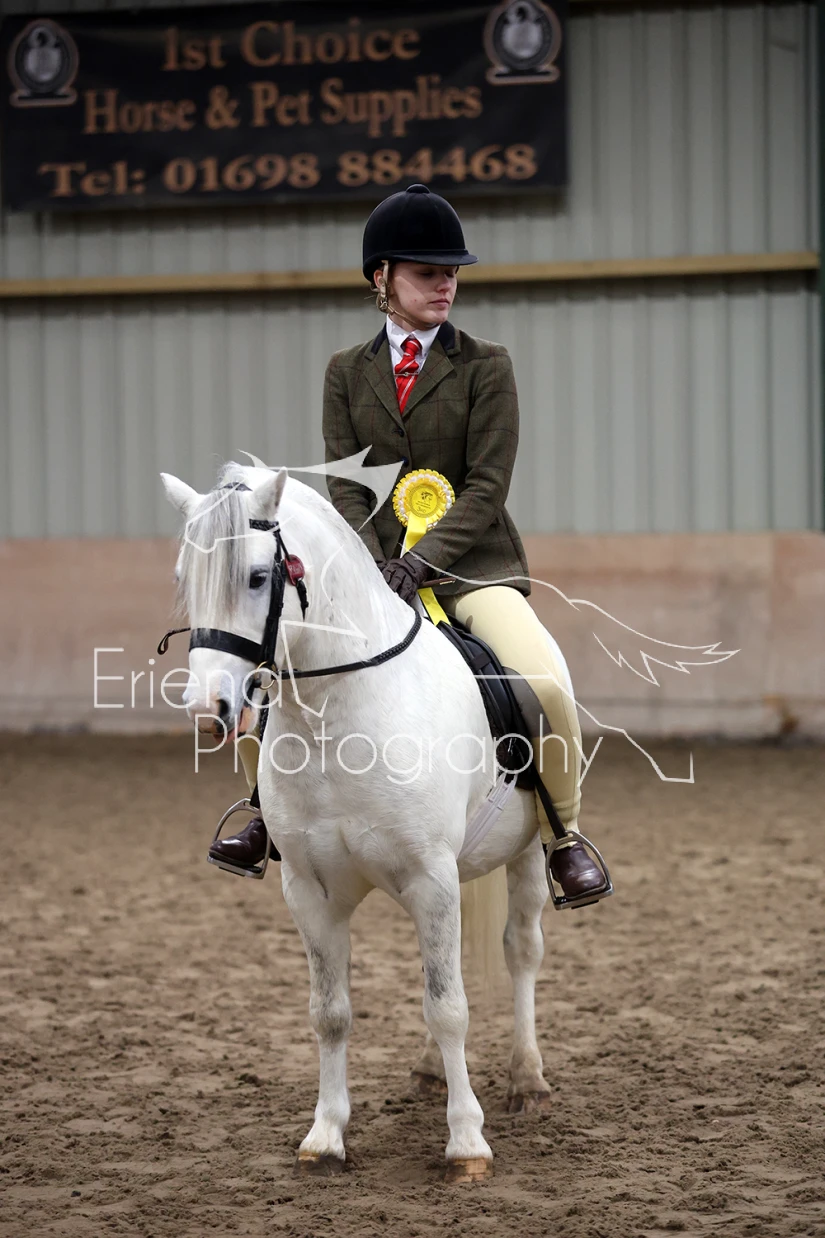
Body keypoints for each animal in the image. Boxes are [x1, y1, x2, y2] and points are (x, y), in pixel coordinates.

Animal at [162, 462, 554, 1183]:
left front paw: (466, 1143)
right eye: (184, 577)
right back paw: (431, 1074)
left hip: (527, 854)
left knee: (520, 952)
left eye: (256, 577)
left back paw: (527, 1080)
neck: (337, 715)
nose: (208, 711)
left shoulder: (431, 880)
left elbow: (448, 1006)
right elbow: (331, 1013)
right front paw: (325, 1136)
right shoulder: (310, 892)